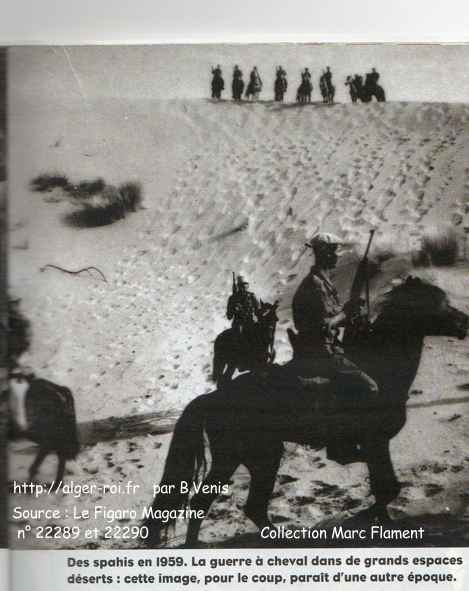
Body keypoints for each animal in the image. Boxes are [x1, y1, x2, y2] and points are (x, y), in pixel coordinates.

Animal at [144, 278, 466, 544]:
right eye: (438, 304)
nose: (465, 322)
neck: (382, 371)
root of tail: (212, 397)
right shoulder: (376, 442)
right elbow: (386, 486)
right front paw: (372, 516)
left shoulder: (376, 444)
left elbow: (383, 485)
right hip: (246, 457)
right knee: (210, 503)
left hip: (252, 457)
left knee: (244, 506)